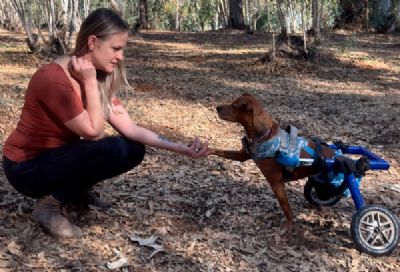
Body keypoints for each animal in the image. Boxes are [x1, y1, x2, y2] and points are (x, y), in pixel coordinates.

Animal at [212, 93, 334, 230]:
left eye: (234, 106)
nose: (217, 107)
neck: (264, 135)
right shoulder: (241, 156)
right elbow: (219, 151)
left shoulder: (276, 183)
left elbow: (286, 207)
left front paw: (289, 226)